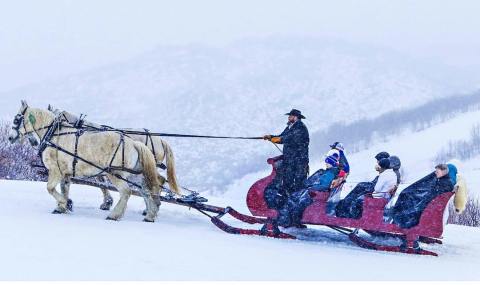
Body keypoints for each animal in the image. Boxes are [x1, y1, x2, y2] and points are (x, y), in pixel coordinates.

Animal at [7, 100, 162, 222]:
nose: (10, 137)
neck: (54, 134)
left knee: (127, 192)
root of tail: (133, 143)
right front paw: (62, 207)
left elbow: (50, 188)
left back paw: (114, 215)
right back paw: (150, 215)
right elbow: (64, 188)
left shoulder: (55, 170)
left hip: (115, 173)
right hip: (136, 174)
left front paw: (66, 203)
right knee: (147, 191)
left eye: (16, 120)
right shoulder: (66, 173)